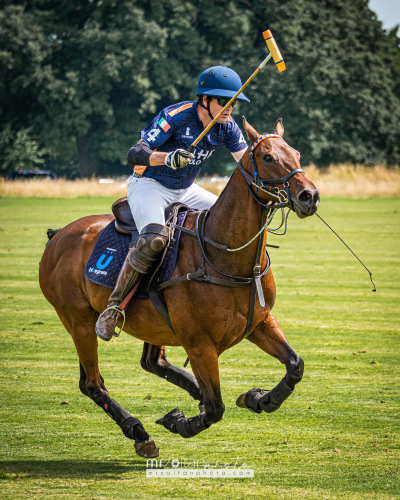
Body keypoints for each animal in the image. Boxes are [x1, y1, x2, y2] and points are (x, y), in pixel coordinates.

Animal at [38, 117, 318, 458]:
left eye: (296, 153)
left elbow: (295, 365)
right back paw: (139, 432)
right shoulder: (199, 343)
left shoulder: (259, 322)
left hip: (152, 323)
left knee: (151, 362)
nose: (309, 196)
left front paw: (259, 398)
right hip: (77, 319)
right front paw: (179, 422)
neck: (223, 255)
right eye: (267, 157)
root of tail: (58, 235)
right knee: (92, 382)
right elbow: (215, 408)